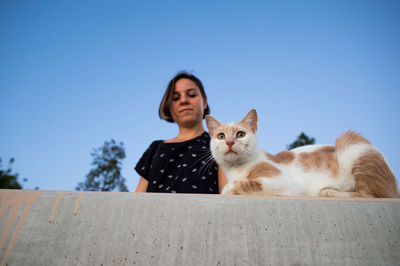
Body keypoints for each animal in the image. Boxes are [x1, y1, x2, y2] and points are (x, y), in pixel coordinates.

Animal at [206, 108, 400, 197]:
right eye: (221, 136)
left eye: (240, 134)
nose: (230, 142)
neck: (236, 170)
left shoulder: (283, 183)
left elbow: (244, 185)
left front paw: (230, 188)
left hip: (350, 144)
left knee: (372, 193)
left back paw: (329, 192)